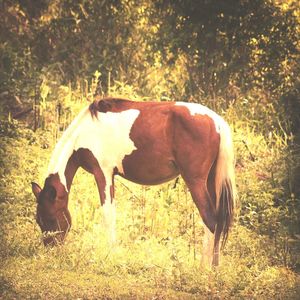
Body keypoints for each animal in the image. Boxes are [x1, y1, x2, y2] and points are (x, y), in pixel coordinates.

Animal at [31, 98, 237, 268]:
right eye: (38, 220)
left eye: (50, 218)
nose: (50, 251)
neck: (86, 133)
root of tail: (217, 122)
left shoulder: (103, 174)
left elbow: (108, 216)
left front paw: (111, 255)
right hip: (210, 182)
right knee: (218, 222)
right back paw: (215, 267)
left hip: (195, 182)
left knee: (210, 220)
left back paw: (203, 268)